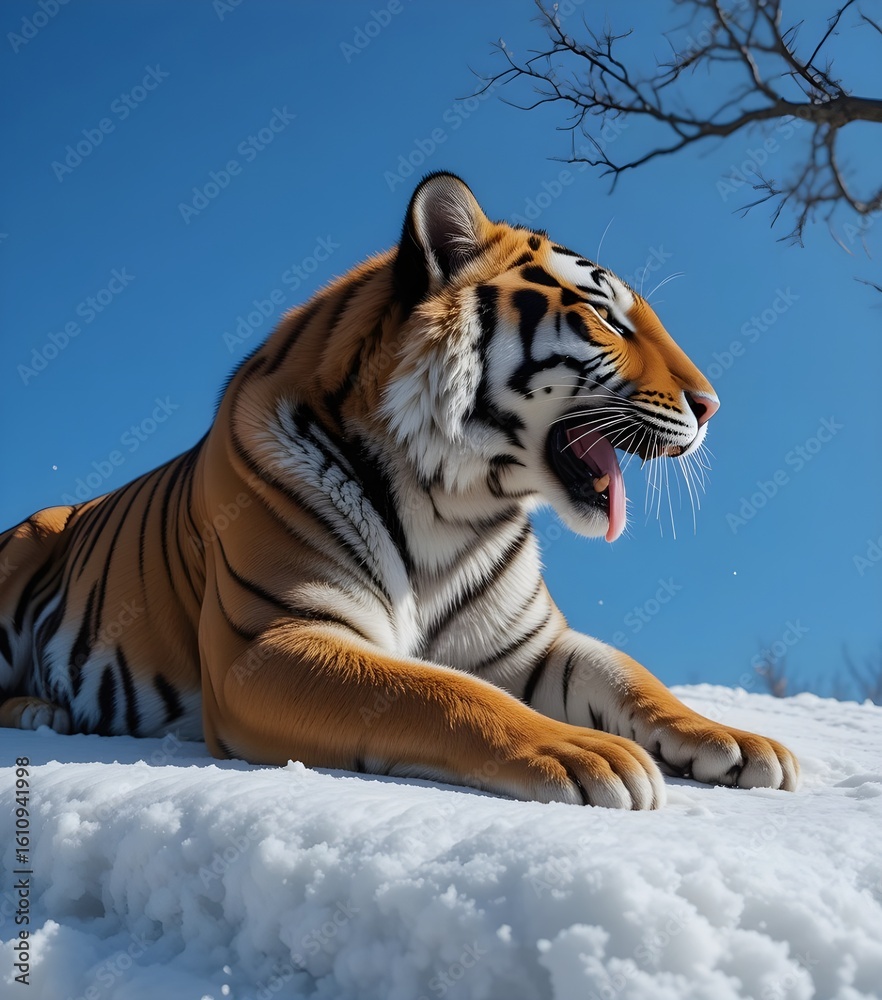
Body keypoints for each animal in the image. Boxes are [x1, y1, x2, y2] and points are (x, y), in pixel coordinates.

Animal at [0, 172, 798, 809]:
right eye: (604, 315)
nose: (711, 405)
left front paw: (740, 741)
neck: (454, 503)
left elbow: (634, 678)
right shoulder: (274, 639)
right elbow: (440, 690)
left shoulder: (533, 644)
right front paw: (585, 752)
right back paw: (39, 712)